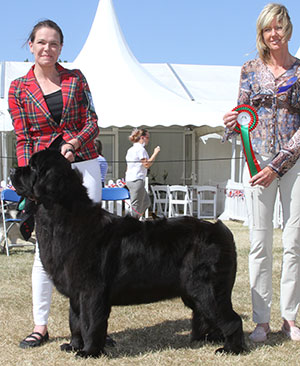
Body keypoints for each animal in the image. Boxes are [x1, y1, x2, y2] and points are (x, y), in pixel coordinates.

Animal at [11, 149, 246, 358]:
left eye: (33, 166)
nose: (13, 169)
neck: (62, 215)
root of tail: (221, 230)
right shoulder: (76, 293)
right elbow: (75, 321)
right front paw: (73, 346)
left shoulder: (91, 291)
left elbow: (89, 323)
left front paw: (89, 352)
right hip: (193, 291)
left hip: (206, 288)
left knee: (231, 319)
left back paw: (230, 349)